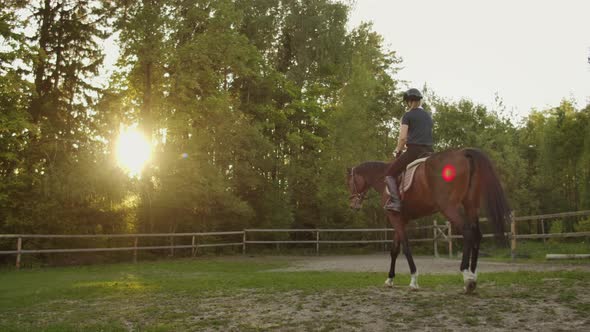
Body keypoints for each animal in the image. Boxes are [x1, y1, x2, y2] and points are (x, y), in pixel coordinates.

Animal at [350, 148, 512, 294]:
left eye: (349, 182)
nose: (353, 205)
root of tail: (463, 153)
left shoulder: (394, 218)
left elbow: (406, 248)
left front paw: (413, 280)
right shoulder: (400, 219)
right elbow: (394, 250)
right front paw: (389, 279)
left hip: (449, 207)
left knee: (467, 232)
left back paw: (467, 276)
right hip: (471, 205)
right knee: (477, 235)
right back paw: (473, 276)